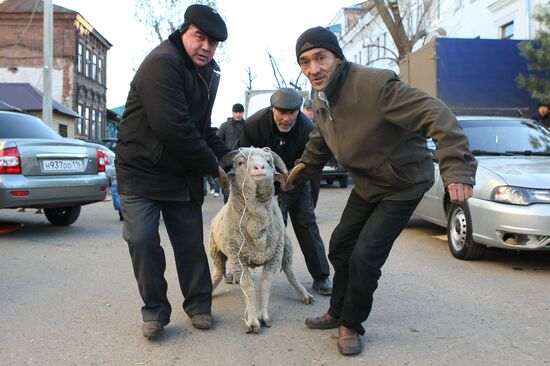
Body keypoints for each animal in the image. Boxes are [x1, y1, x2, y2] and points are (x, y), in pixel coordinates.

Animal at [210, 147, 314, 334]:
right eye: (240, 162)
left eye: (269, 161)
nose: (259, 168)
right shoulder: (239, 259)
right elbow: (248, 288)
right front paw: (252, 321)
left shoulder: (274, 256)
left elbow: (265, 285)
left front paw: (263, 316)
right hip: (216, 250)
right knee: (218, 272)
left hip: (286, 248)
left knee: (290, 272)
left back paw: (304, 294)